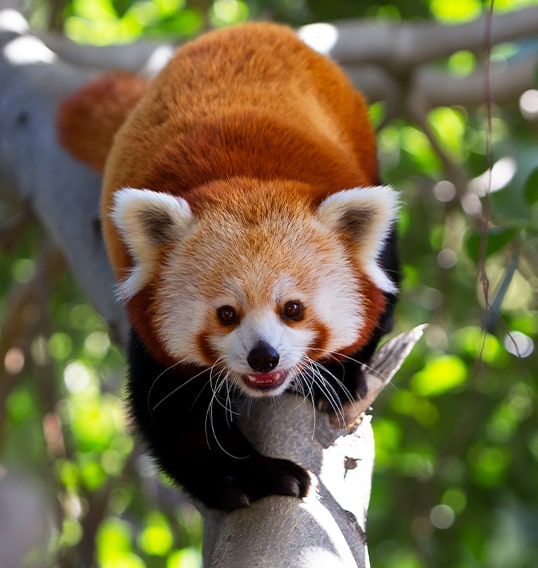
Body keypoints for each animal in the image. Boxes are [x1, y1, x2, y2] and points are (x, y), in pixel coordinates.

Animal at [58, 22, 398, 510]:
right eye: (226, 314)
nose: (263, 356)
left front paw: (337, 374)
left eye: (293, 309)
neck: (246, 177)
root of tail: (250, 27)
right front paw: (259, 477)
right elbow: (175, 418)